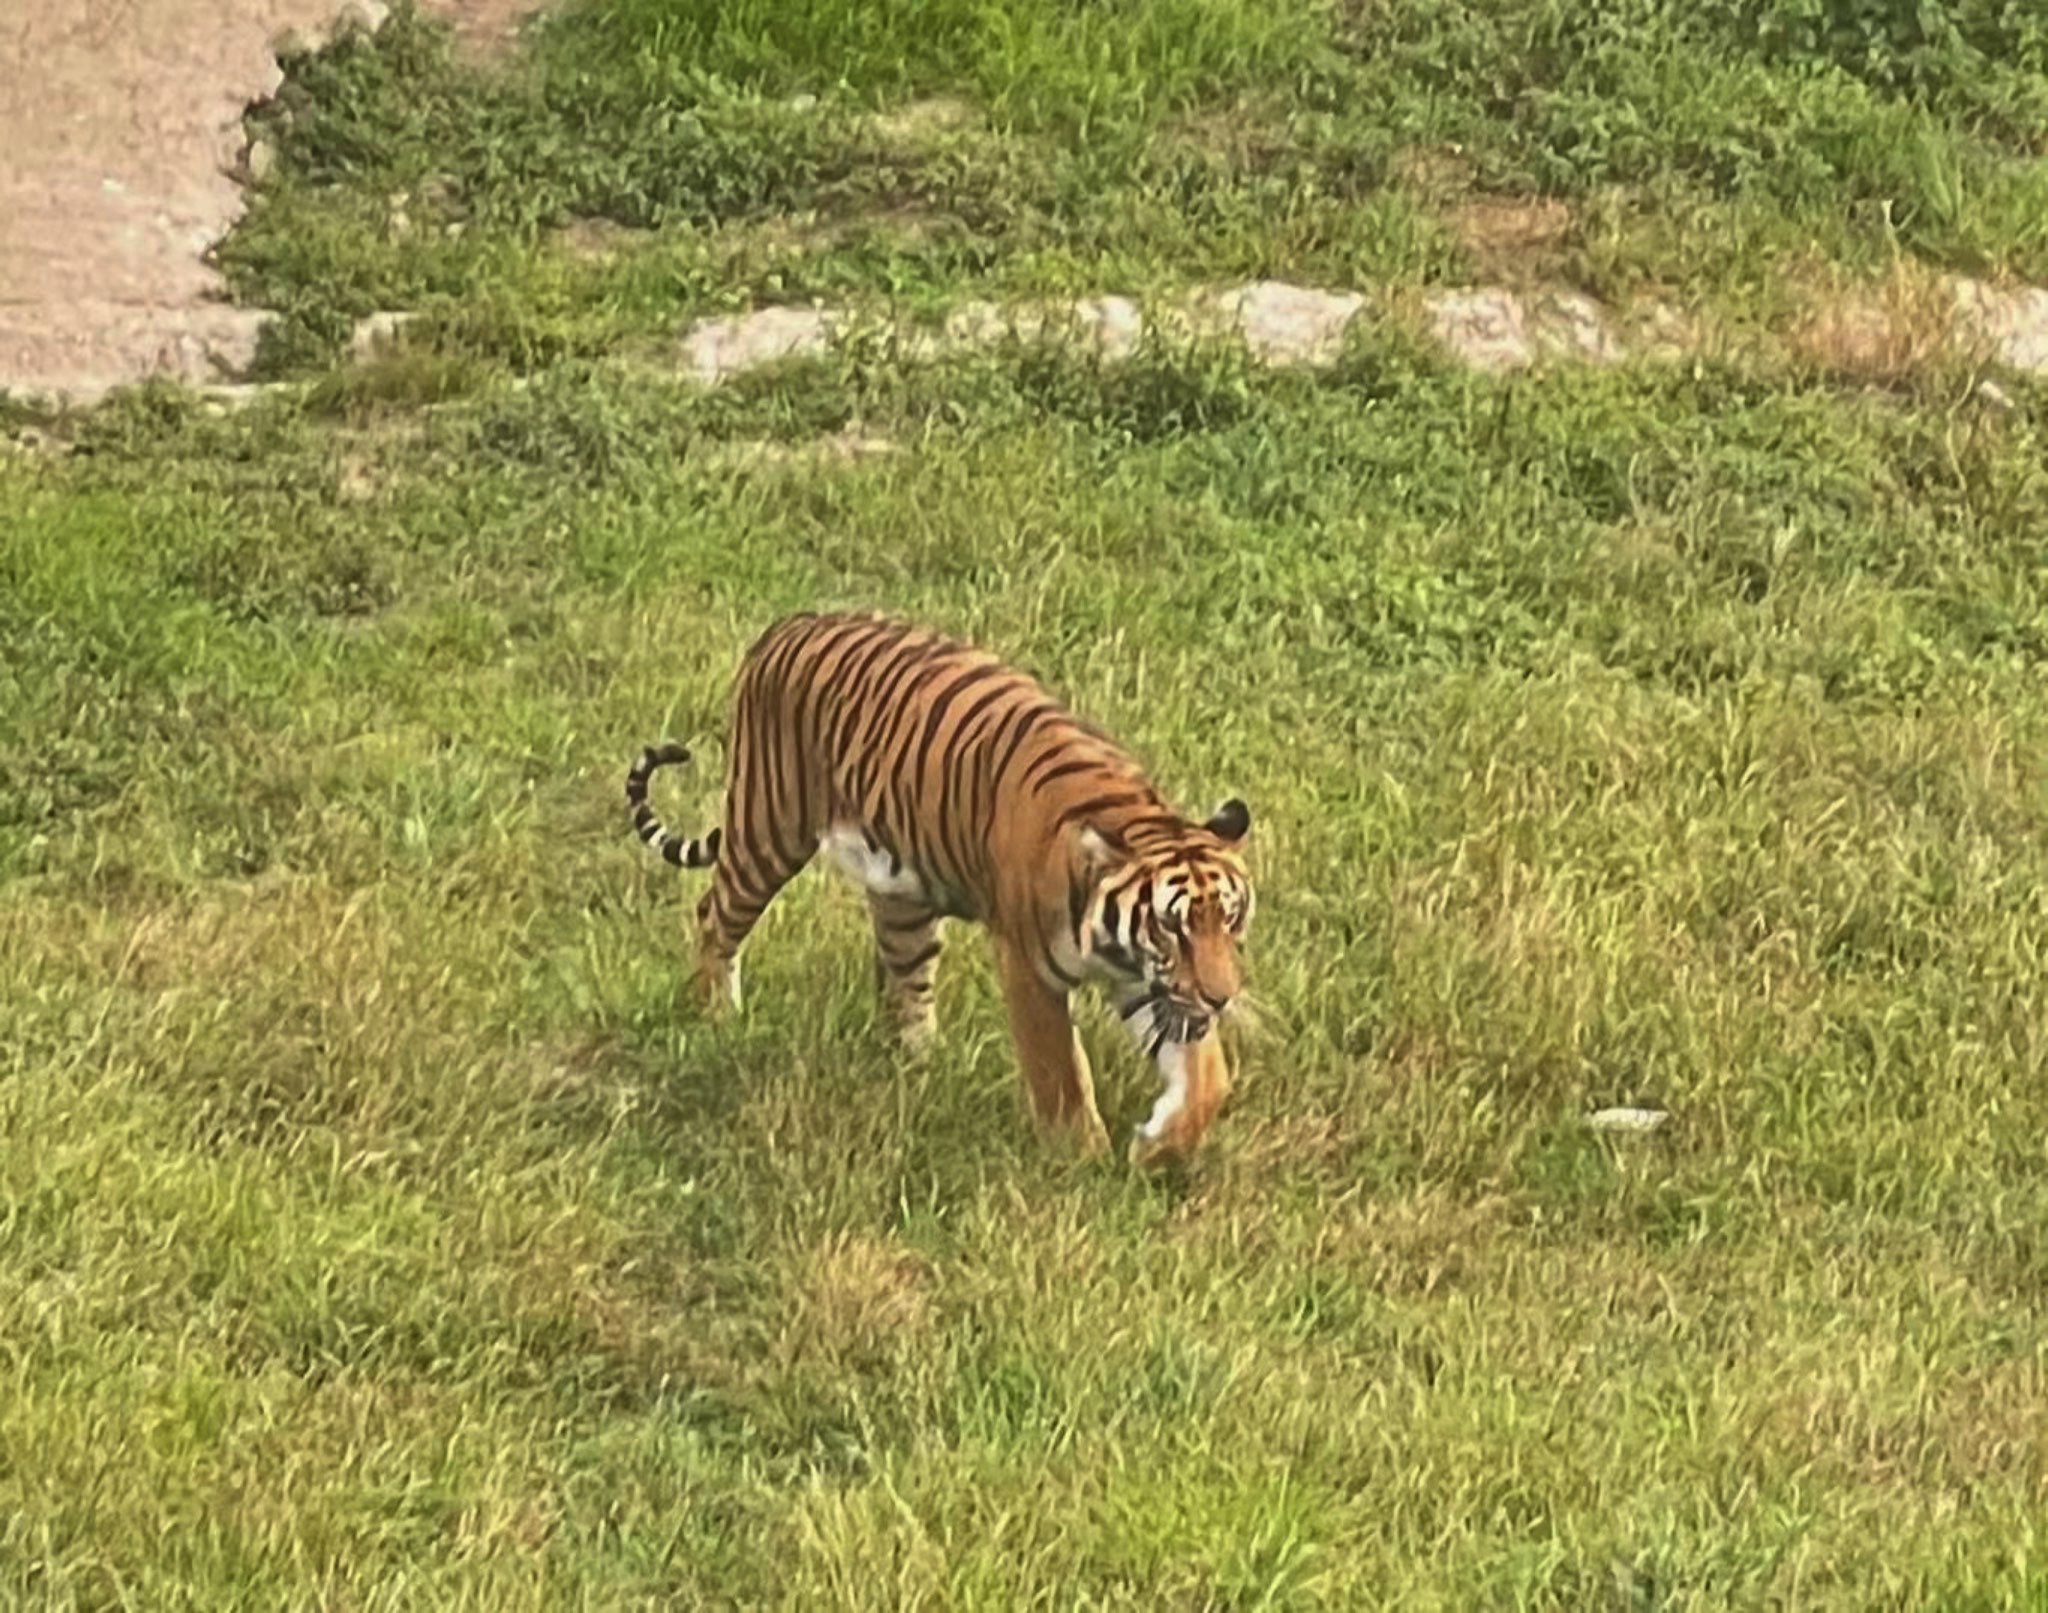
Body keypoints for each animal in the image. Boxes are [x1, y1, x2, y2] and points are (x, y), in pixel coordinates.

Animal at [623, 609, 1256, 1167]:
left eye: (1229, 919)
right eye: (1171, 927)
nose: (1222, 998)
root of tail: (787, 625)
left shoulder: (1153, 982)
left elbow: (1207, 1080)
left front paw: (1157, 1148)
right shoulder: (1030, 966)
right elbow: (1059, 1074)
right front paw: (1081, 1162)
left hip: (901, 896)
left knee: (905, 984)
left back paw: (925, 1069)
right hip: (767, 829)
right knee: (714, 914)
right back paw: (716, 1017)